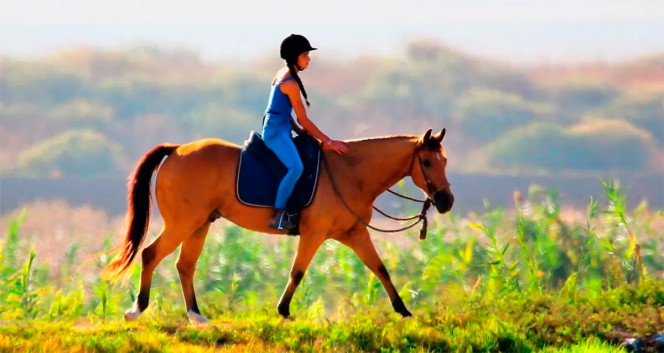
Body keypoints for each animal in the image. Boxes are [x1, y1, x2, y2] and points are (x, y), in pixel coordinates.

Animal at [105, 127, 456, 322]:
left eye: (445, 161)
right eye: (427, 162)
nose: (446, 201)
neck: (350, 172)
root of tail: (176, 150)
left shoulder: (353, 234)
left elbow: (380, 268)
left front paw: (403, 310)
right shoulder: (314, 233)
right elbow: (297, 272)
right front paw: (284, 310)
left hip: (199, 224)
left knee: (184, 265)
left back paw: (196, 315)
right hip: (183, 222)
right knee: (151, 254)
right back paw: (137, 309)